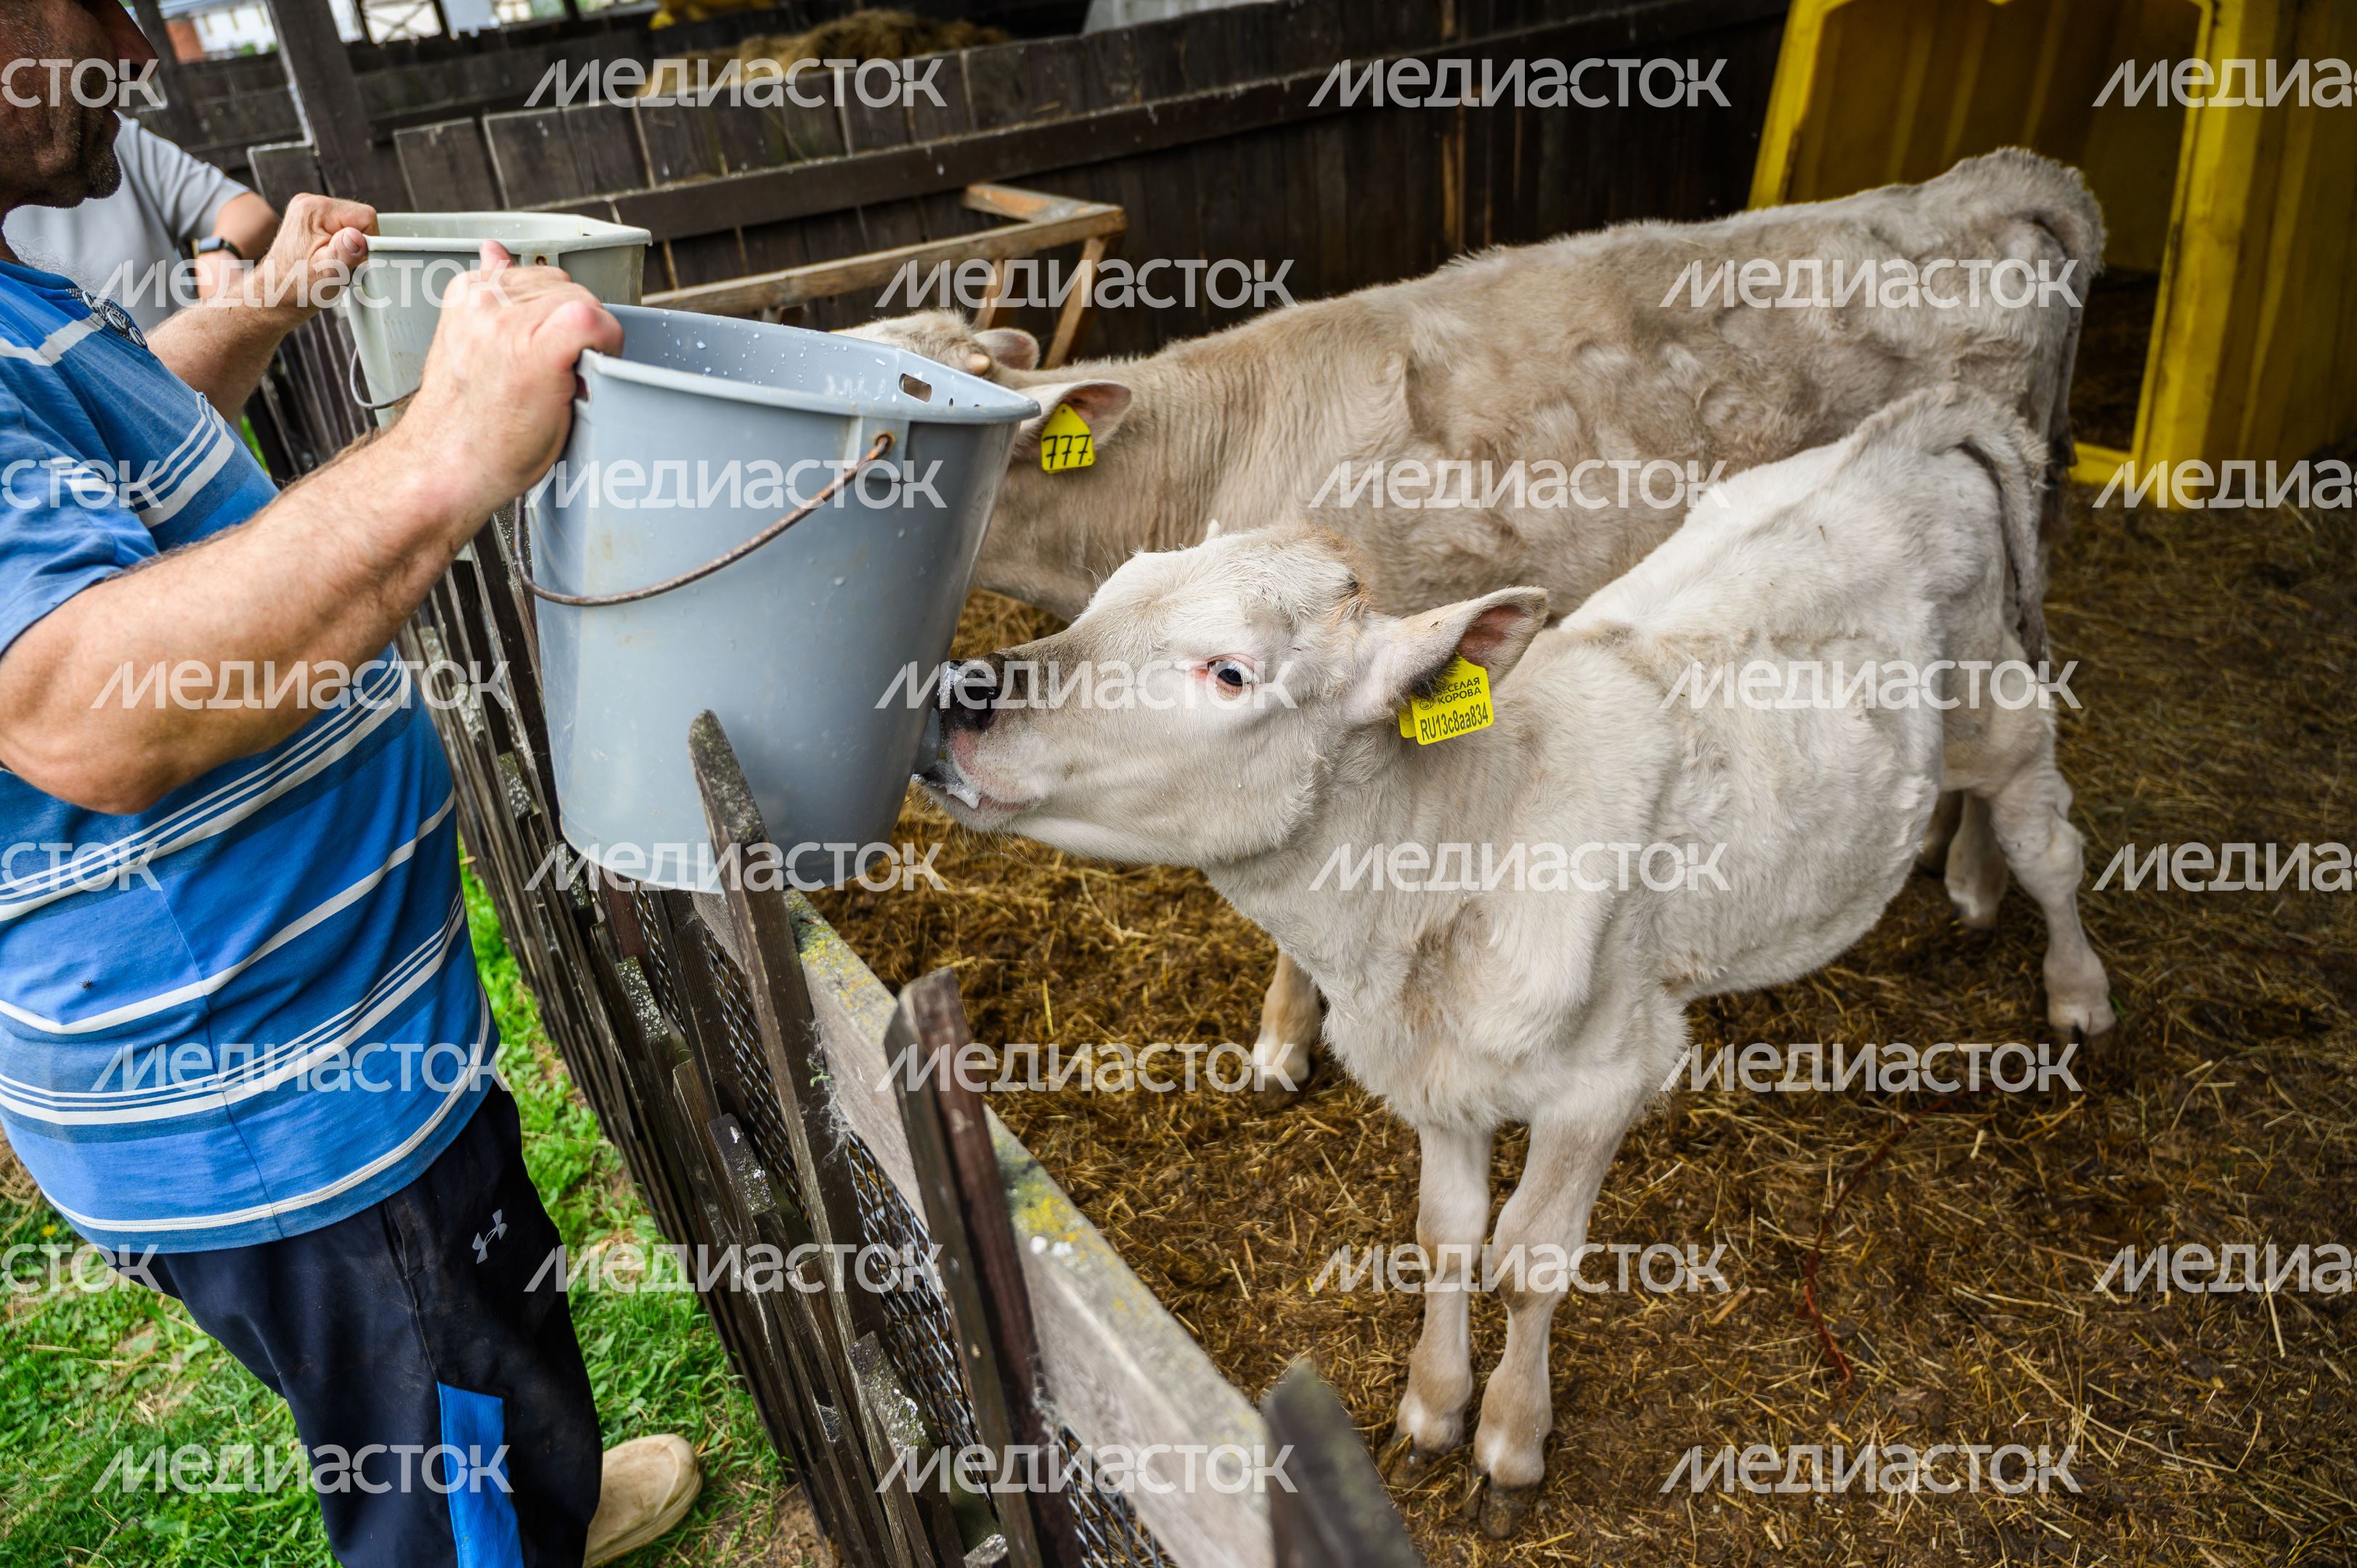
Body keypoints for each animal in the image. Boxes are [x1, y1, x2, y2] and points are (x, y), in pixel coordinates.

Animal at [912, 384, 2115, 1535]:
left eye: (1229, 673)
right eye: (1108, 595)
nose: (957, 693)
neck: (1454, 856)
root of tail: (1910, 431)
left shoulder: (1604, 1078)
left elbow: (1528, 1262)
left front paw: (1507, 1444)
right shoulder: (1436, 1075)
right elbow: (1446, 1238)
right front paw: (1430, 1409)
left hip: (1998, 704)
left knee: (2048, 841)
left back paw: (2072, 992)